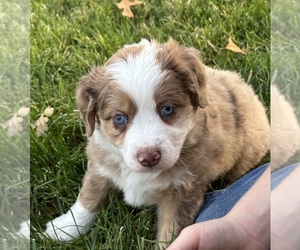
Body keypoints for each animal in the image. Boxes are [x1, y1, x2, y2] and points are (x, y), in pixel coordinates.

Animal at [44, 39, 270, 248]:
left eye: (167, 109)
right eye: (119, 118)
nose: (149, 157)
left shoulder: (183, 193)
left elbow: (171, 232)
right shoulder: (100, 161)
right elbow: (89, 195)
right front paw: (65, 228)